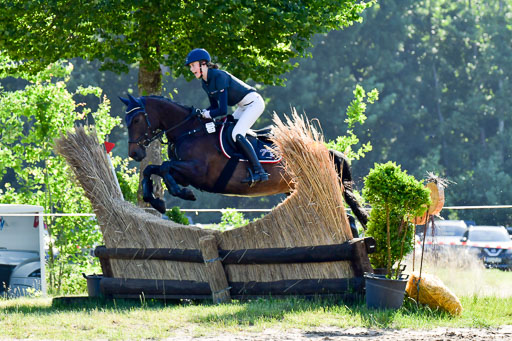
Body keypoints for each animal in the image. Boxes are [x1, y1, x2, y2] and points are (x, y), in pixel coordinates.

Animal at [120, 95, 368, 228]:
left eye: (137, 119)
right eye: (126, 120)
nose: (135, 154)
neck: (189, 130)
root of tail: (330, 152)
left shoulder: (198, 172)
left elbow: (164, 167)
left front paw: (182, 194)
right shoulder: (185, 173)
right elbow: (152, 169)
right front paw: (154, 200)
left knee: (347, 217)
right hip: (297, 189)